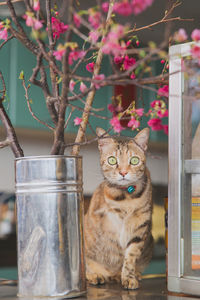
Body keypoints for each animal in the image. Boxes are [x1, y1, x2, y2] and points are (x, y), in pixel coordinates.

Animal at [83, 127, 152, 290]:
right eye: (112, 160)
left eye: (134, 160)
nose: (123, 172)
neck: (127, 197)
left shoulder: (140, 228)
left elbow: (130, 257)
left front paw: (128, 277)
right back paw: (94, 275)